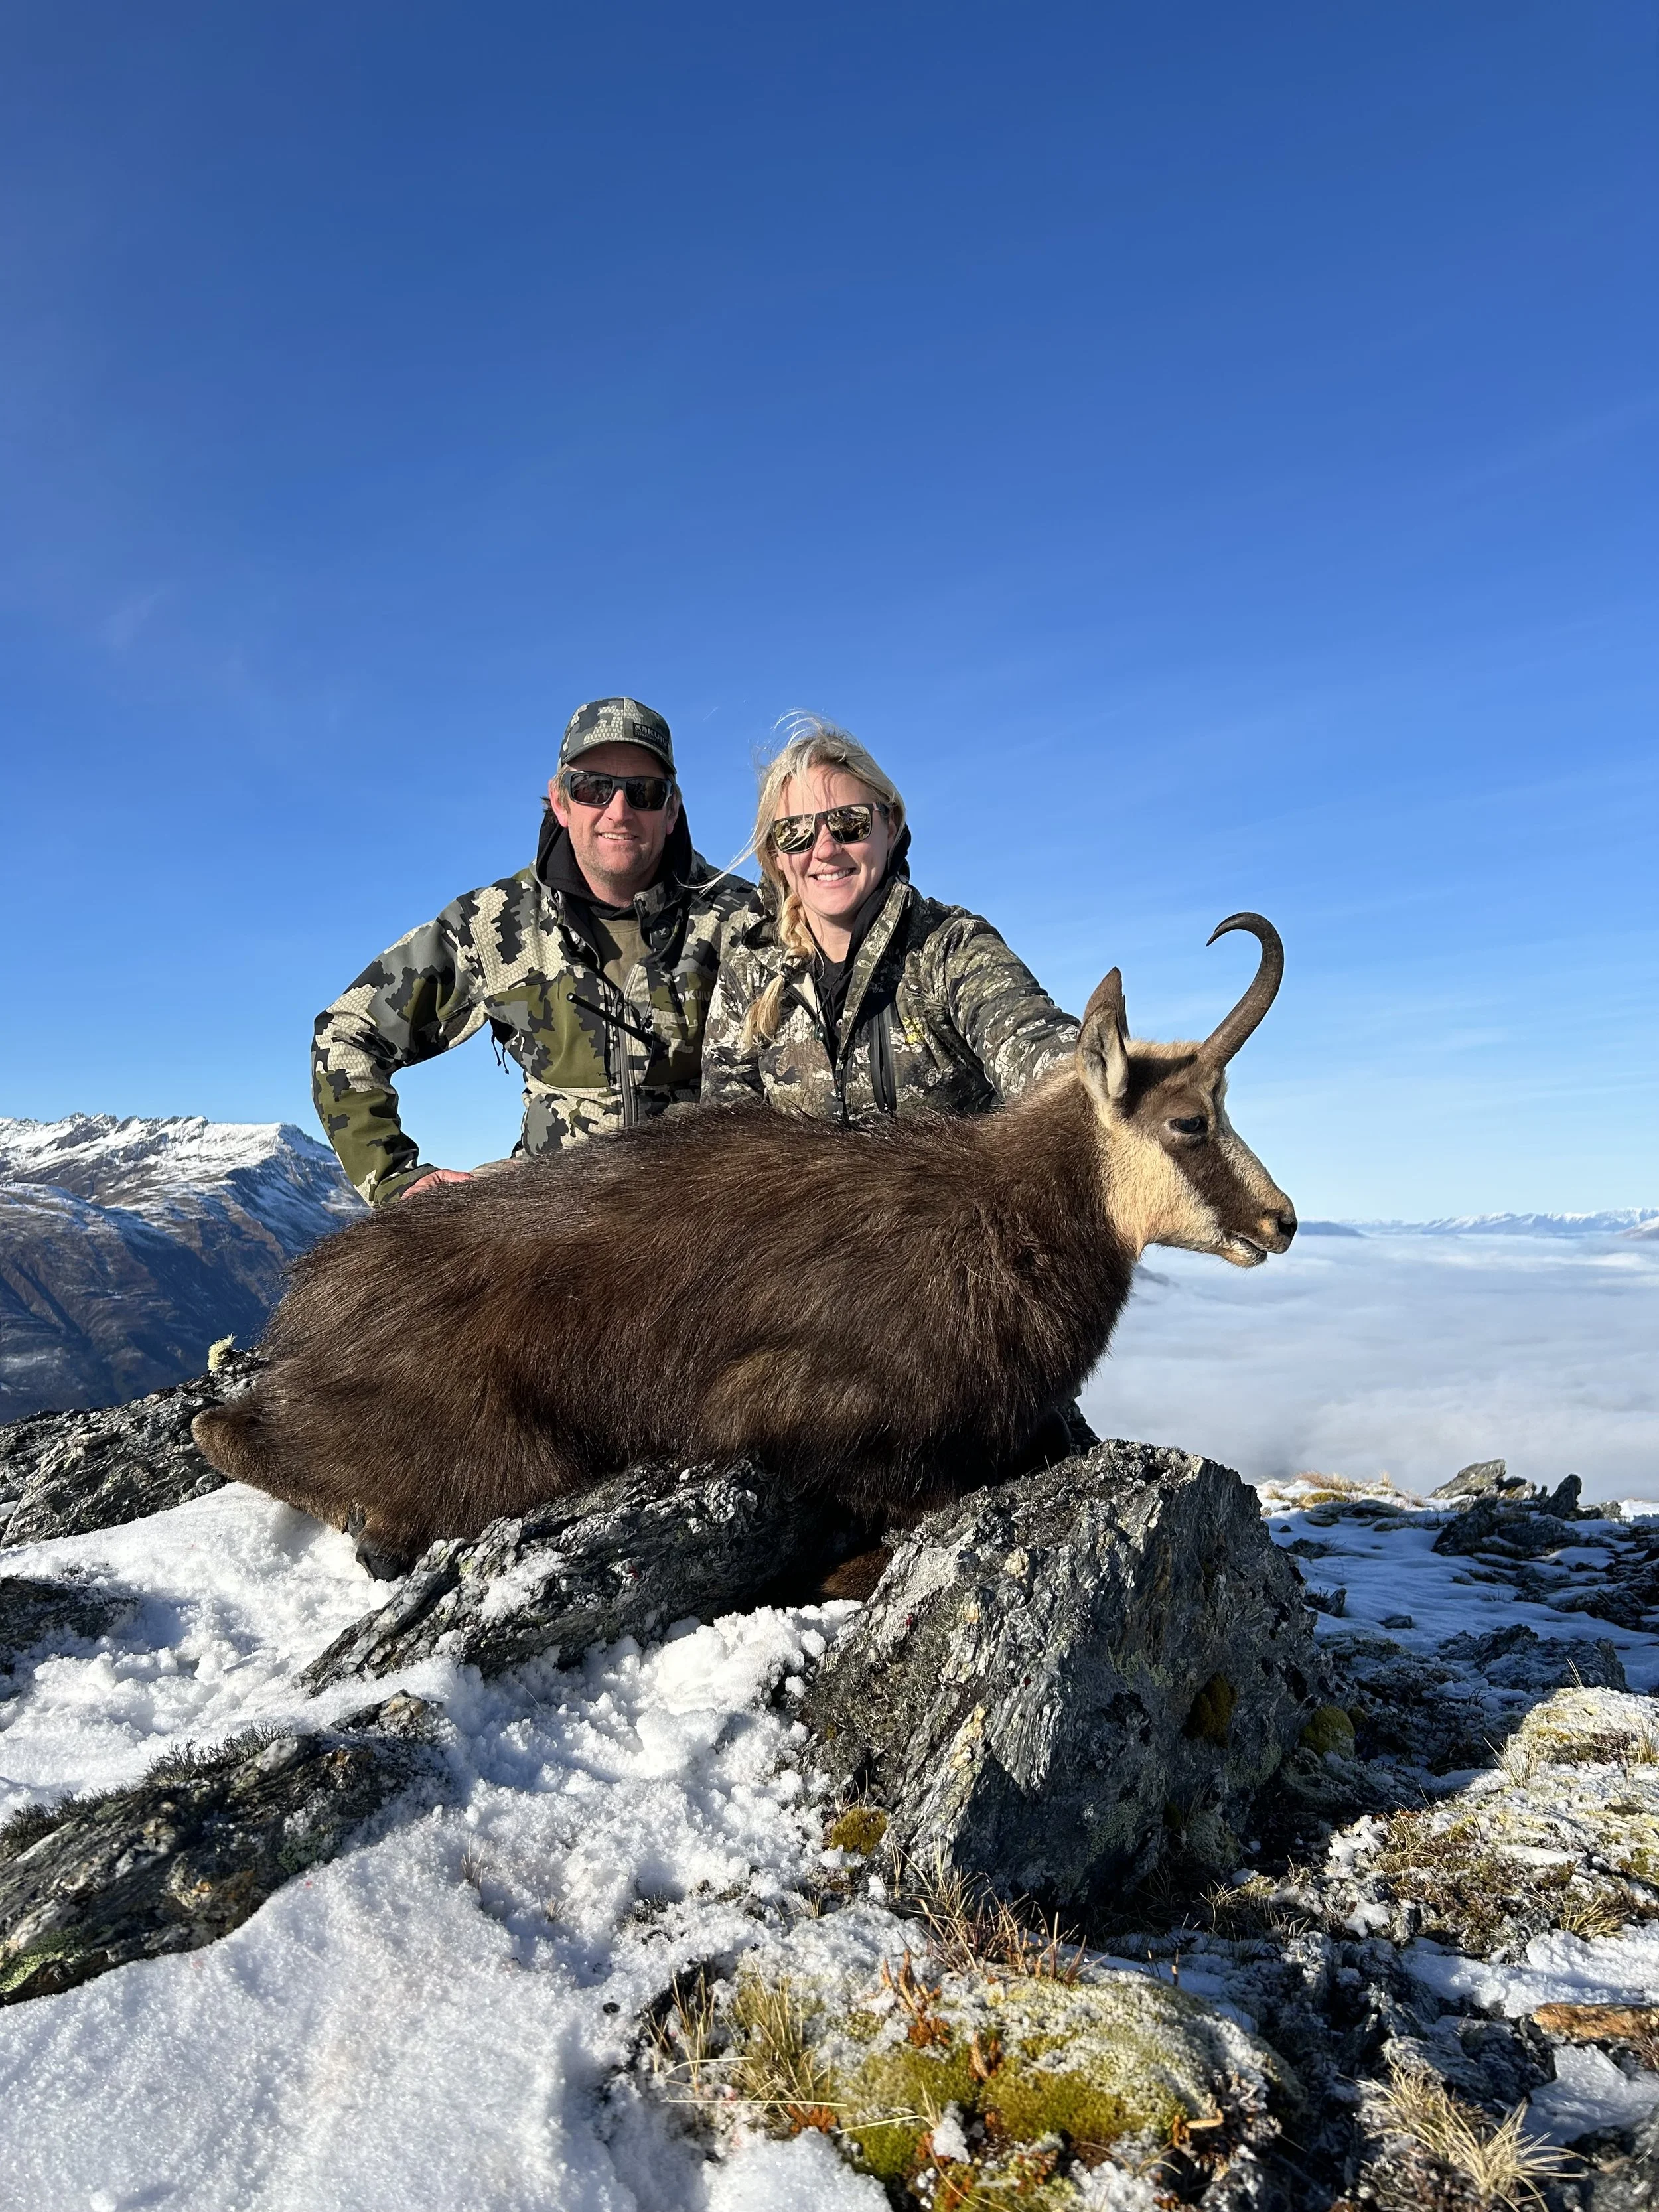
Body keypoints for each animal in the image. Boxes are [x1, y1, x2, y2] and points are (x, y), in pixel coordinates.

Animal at [193, 914, 1296, 1565]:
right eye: (1190, 1120)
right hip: (510, 1454)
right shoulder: (786, 1405)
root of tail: (313, 1299)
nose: (1281, 1221)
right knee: (225, 1432)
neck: (1002, 1215)